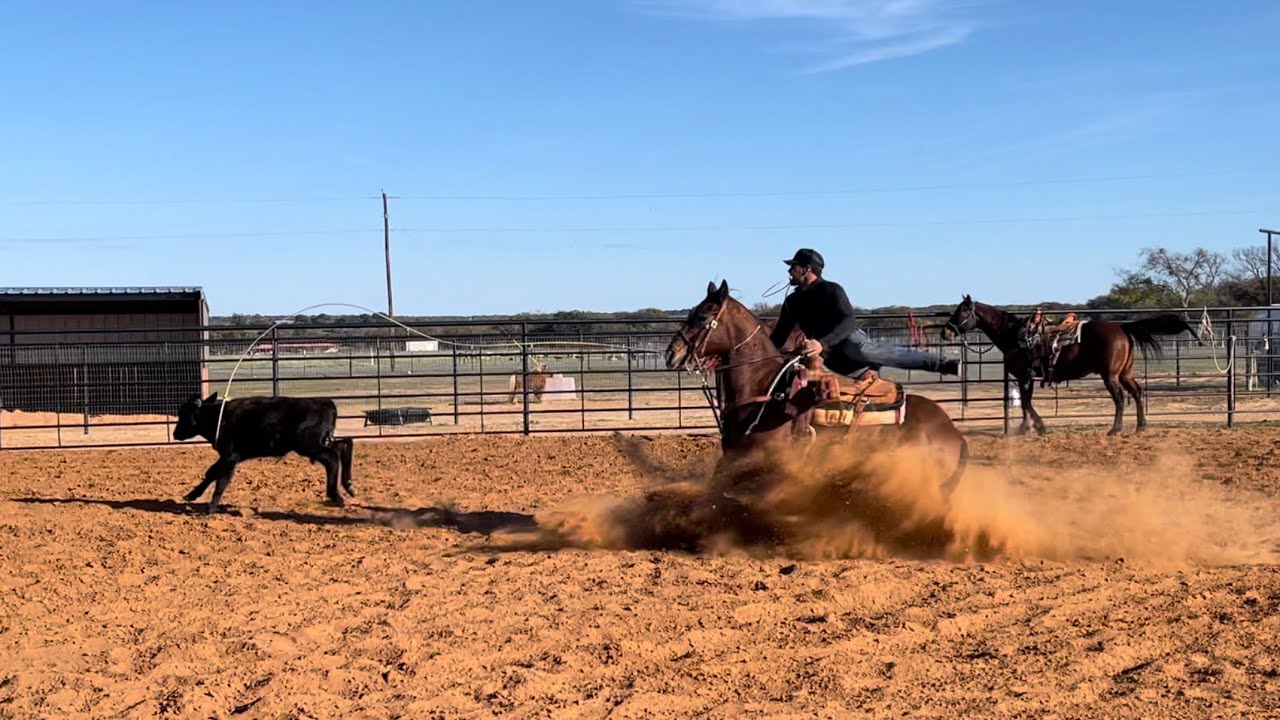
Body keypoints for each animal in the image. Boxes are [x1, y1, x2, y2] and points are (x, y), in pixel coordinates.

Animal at [942, 294, 1198, 435]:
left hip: (1110, 376)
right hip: (1125, 373)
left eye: (961, 311)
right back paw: (1141, 426)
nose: (945, 332)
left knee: (1119, 398)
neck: (1016, 336)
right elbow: (1025, 403)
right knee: (1137, 392)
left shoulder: (1025, 376)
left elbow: (1026, 403)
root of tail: (1122, 328)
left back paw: (1115, 430)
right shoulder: (1027, 377)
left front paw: (1036, 427)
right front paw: (1028, 428)